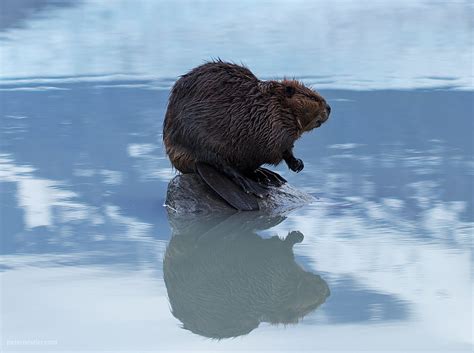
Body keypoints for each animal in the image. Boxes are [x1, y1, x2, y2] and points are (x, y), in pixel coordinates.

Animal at [163, 60, 330, 209]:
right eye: (313, 98)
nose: (329, 108)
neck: (273, 105)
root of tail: (195, 163)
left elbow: (287, 150)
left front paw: (298, 164)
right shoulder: (272, 127)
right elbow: (278, 148)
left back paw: (268, 176)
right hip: (201, 141)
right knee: (223, 165)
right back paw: (256, 187)